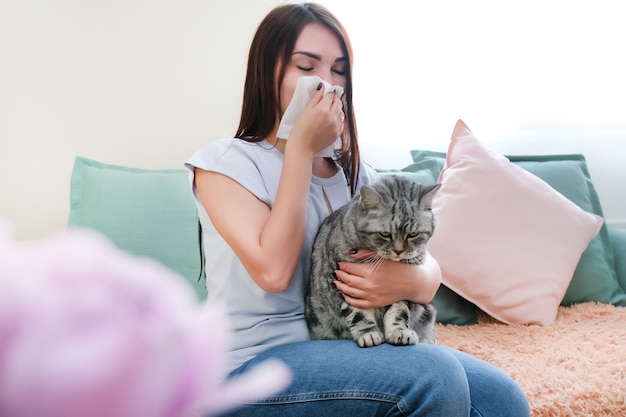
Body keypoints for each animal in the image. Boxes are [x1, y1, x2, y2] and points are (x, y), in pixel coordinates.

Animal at [302, 174, 438, 346]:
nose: (399, 251)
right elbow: (357, 314)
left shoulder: (402, 289)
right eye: (385, 234)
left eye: (413, 234)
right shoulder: (341, 282)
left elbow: (399, 311)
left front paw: (399, 332)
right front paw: (369, 334)